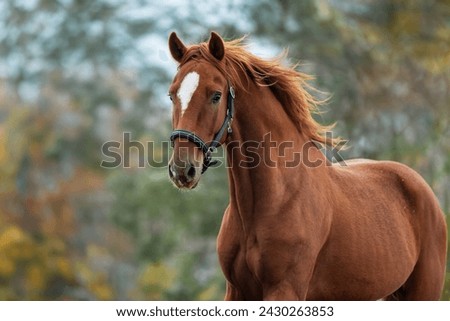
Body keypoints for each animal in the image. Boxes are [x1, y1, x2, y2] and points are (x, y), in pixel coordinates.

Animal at [168, 31, 446, 298]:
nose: (182, 169)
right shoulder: (237, 291)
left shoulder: (285, 289)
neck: (272, 200)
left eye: (216, 96)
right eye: (172, 95)